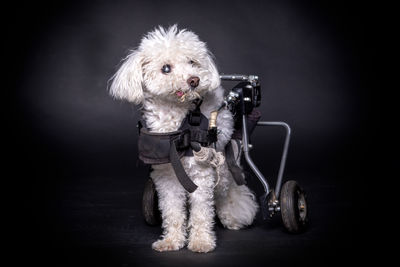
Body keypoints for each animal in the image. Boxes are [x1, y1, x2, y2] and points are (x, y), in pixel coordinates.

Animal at [110, 26, 260, 254]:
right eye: (166, 68)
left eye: (192, 62)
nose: (194, 80)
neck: (175, 124)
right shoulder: (166, 176)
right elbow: (172, 210)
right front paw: (172, 240)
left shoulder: (201, 174)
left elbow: (201, 212)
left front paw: (201, 242)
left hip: (224, 164)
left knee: (227, 192)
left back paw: (235, 214)